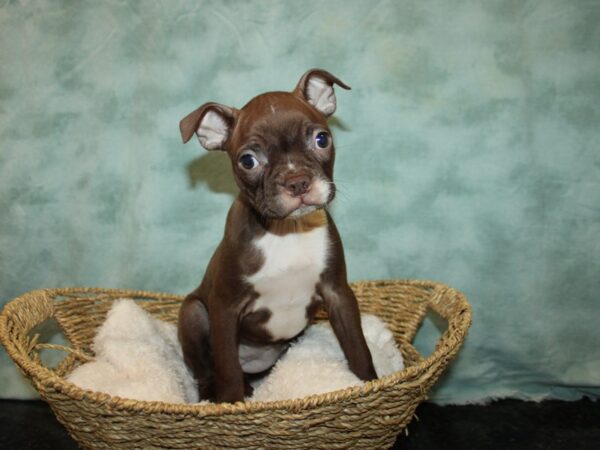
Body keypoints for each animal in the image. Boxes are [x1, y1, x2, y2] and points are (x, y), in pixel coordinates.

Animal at [177, 70, 376, 404]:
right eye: (248, 161)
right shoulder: (225, 308)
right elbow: (227, 369)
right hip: (193, 312)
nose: (297, 182)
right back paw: (211, 397)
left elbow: (358, 348)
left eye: (321, 139)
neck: (287, 231)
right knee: (209, 371)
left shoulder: (338, 294)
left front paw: (372, 385)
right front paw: (230, 404)